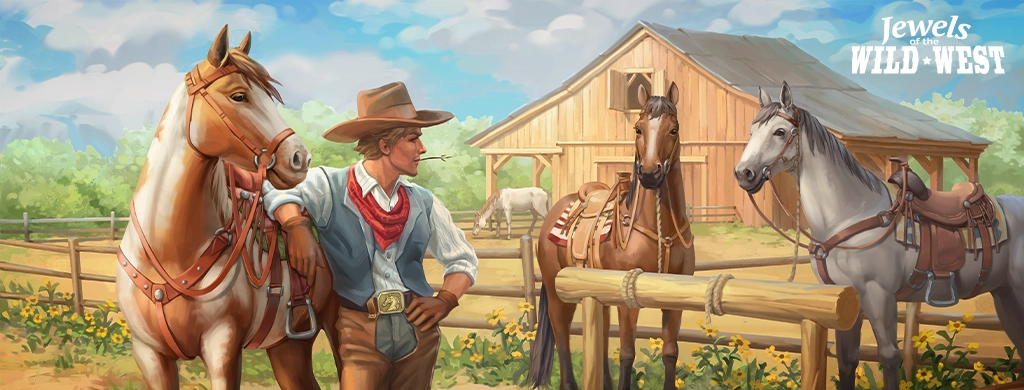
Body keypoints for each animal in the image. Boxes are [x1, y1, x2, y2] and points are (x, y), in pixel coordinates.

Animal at [114, 25, 342, 386]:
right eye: (239, 96)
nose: (299, 158)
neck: (170, 251)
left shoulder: (222, 347)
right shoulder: (149, 354)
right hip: (287, 347)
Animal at [528, 82, 696, 388]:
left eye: (674, 129)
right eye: (638, 129)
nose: (650, 173)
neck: (661, 232)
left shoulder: (673, 298)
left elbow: (670, 352)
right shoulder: (628, 301)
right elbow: (627, 352)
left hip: (600, 296)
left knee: (601, 334)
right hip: (558, 294)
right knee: (561, 333)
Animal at [737, 81, 1024, 388]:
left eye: (779, 132)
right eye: (752, 131)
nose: (743, 173)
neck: (851, 215)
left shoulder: (879, 295)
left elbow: (888, 356)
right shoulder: (844, 300)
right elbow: (847, 359)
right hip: (1005, 296)